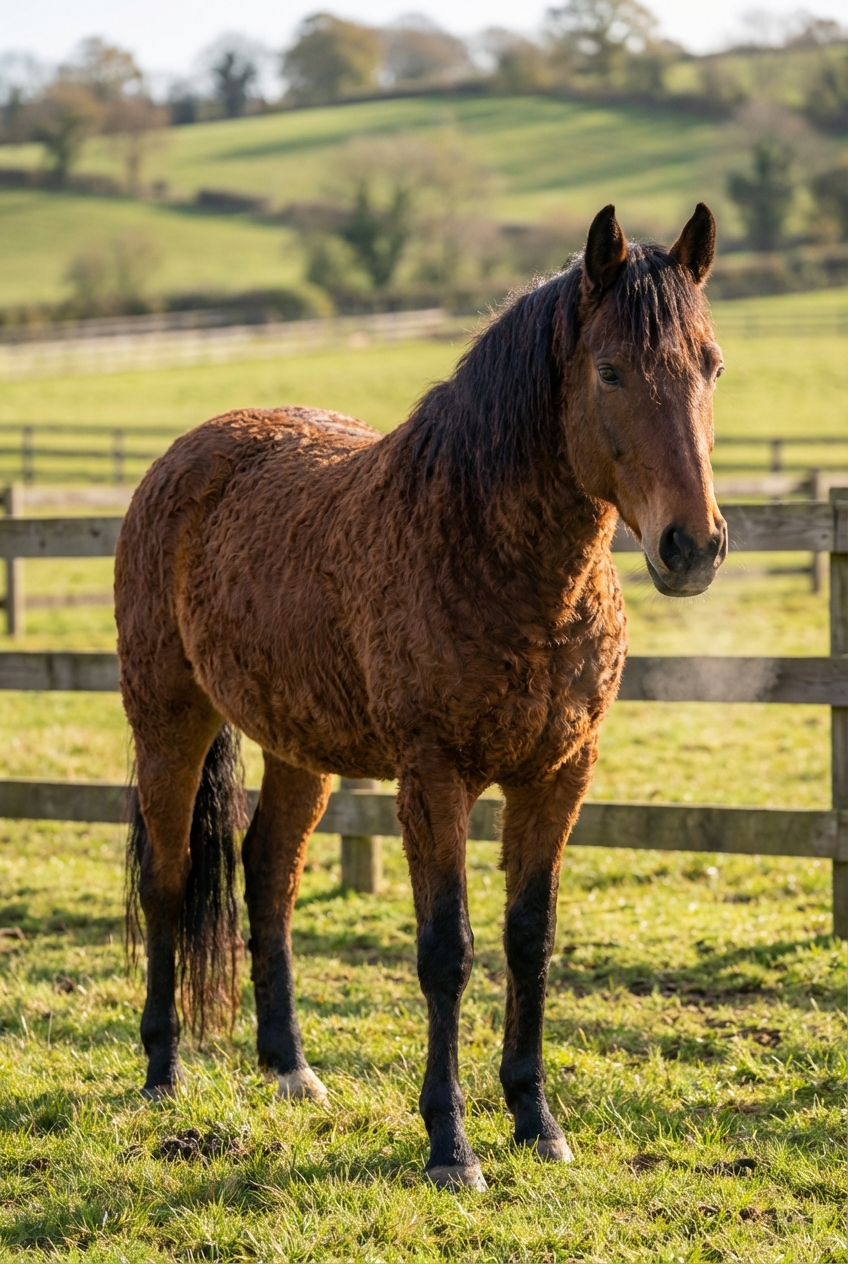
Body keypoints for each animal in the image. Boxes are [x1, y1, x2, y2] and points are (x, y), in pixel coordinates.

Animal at [116, 203, 727, 1190]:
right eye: (610, 370)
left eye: (711, 366)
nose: (693, 546)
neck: (484, 544)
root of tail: (189, 453)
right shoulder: (434, 781)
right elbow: (450, 952)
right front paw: (451, 1147)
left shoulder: (559, 776)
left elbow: (529, 941)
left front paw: (537, 1122)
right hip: (169, 725)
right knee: (171, 879)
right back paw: (164, 1072)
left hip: (298, 745)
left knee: (268, 873)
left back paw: (290, 1069)